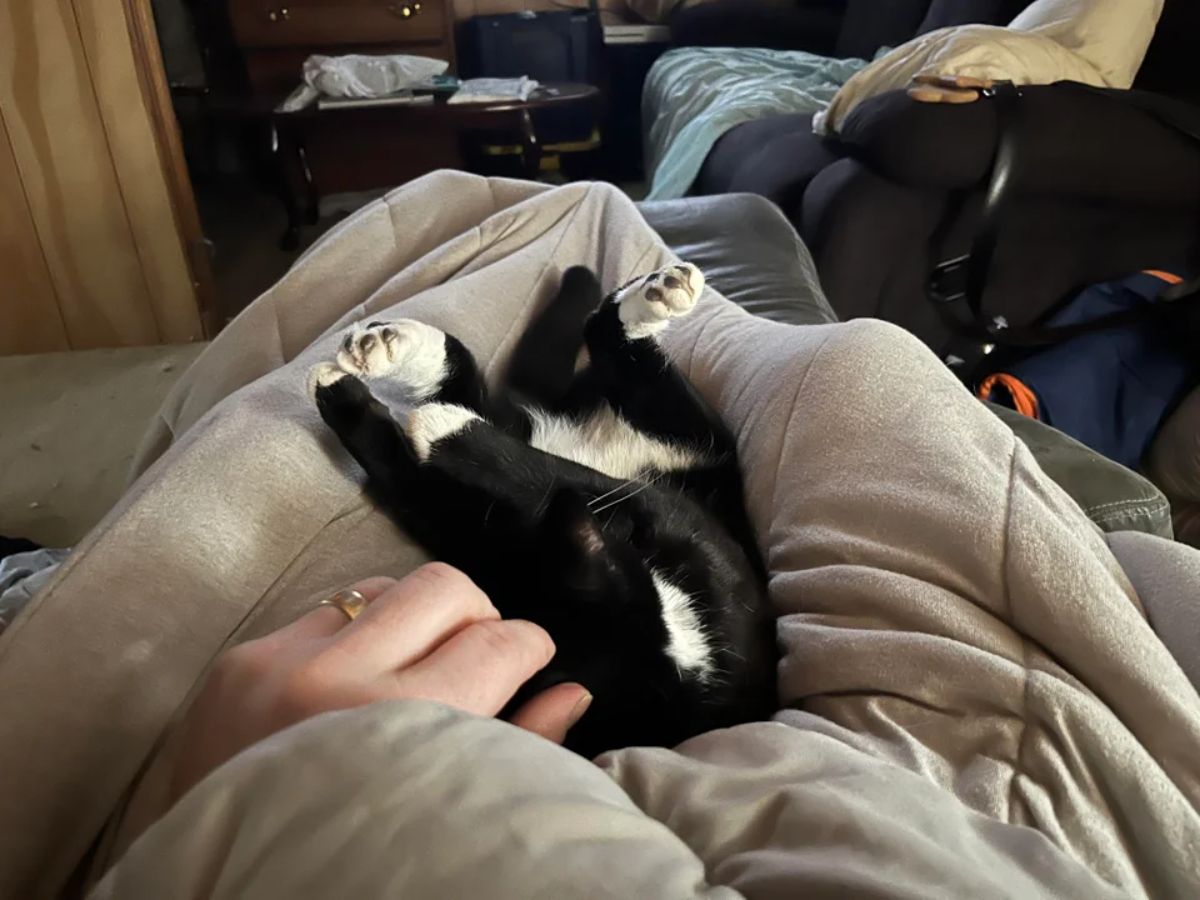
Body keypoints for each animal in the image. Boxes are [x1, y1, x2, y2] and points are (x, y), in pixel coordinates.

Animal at [312, 264, 777, 758]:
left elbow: (560, 479)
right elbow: (421, 479)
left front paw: (435, 427)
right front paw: (357, 402)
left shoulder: (687, 530)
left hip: (689, 440)